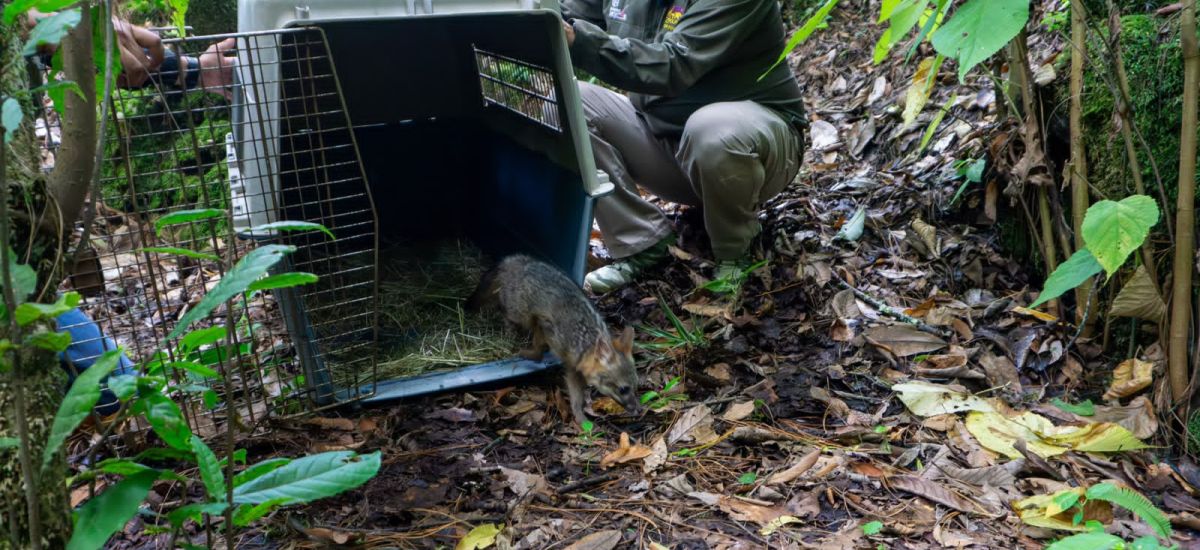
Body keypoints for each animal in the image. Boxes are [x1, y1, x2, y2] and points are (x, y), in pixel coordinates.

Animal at [467, 254, 640, 426]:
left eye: (636, 386)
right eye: (623, 389)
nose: (639, 409)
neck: (584, 342)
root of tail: (515, 259)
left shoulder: (575, 370)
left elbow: (578, 397)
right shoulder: (545, 327)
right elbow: (538, 351)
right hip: (519, 313)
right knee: (503, 310)